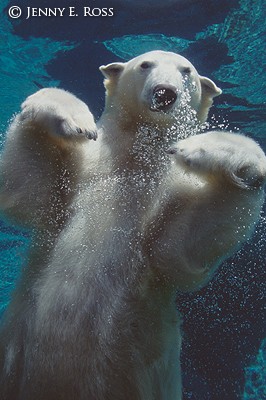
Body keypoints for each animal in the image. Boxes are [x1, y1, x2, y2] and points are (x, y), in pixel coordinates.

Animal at [0, 51, 266, 398]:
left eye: (187, 71)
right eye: (145, 64)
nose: (165, 93)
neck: (135, 159)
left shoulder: (166, 203)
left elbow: (184, 247)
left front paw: (205, 150)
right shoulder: (79, 175)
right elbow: (26, 187)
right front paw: (72, 118)